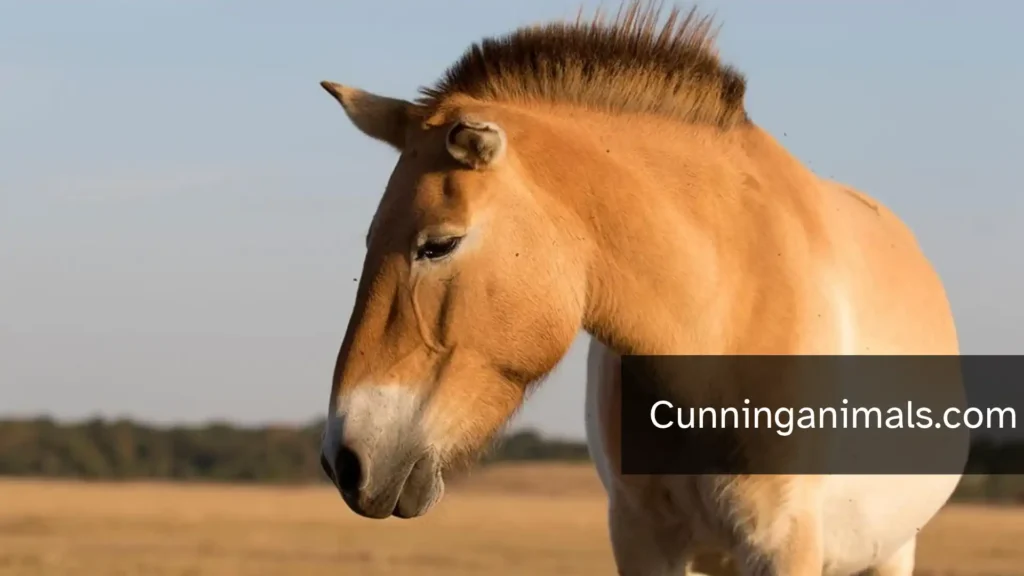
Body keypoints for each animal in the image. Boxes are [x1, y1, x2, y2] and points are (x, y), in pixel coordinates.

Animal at [316, 2, 967, 574]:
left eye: (439, 245)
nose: (344, 461)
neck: (723, 329)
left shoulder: (783, 546)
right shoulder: (641, 543)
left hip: (889, 552)